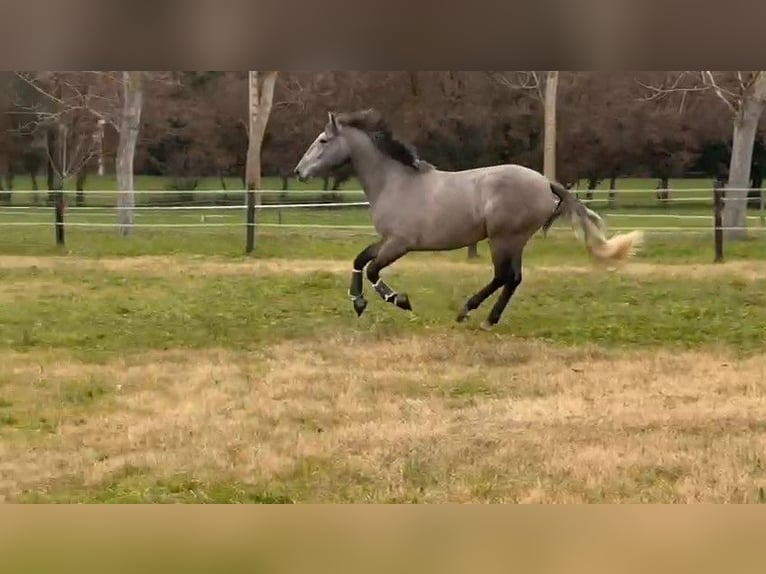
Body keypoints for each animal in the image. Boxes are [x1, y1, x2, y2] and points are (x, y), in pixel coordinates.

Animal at [294, 109, 640, 330]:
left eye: (323, 140)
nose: (299, 172)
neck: (395, 181)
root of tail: (545, 183)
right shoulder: (386, 240)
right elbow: (360, 259)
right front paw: (358, 303)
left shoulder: (400, 244)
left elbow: (372, 269)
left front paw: (399, 300)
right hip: (513, 241)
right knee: (513, 278)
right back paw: (486, 318)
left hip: (503, 238)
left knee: (503, 276)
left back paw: (469, 313)